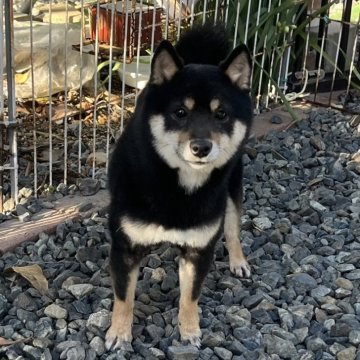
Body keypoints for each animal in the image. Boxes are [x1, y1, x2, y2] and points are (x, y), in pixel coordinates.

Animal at [105, 24, 253, 348]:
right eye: (180, 113)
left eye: (221, 114)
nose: (201, 147)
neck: (178, 187)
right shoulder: (125, 246)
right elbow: (124, 297)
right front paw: (119, 333)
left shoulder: (199, 249)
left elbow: (190, 296)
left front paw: (189, 330)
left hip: (233, 186)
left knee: (233, 227)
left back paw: (238, 261)